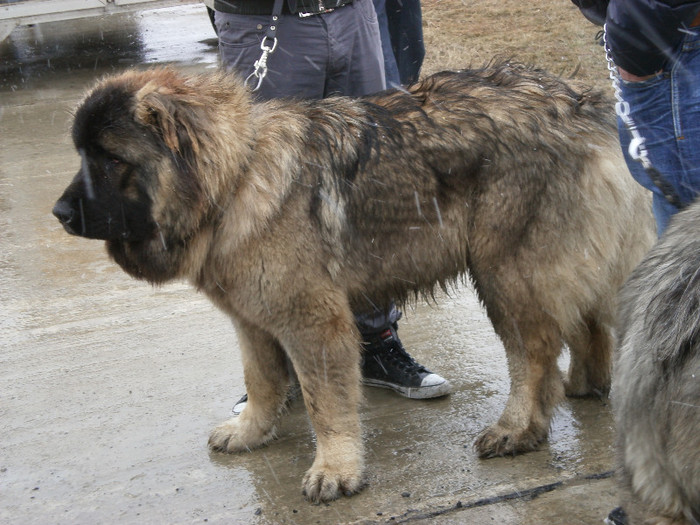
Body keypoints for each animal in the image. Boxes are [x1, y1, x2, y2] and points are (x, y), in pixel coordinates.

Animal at [53, 63, 656, 502]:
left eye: (109, 160)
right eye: (81, 154)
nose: (59, 213)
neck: (239, 174)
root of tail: (584, 102)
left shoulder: (312, 320)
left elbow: (325, 402)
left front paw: (336, 468)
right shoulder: (254, 315)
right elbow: (263, 380)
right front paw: (251, 430)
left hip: (505, 270)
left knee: (533, 354)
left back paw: (517, 427)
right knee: (583, 321)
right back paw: (585, 381)